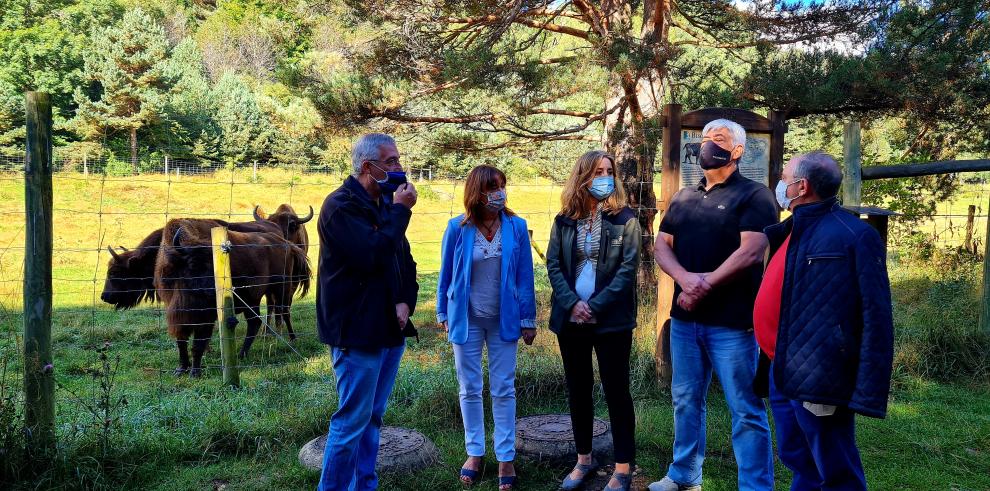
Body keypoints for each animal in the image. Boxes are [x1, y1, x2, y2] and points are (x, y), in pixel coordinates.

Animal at [156, 219, 310, 376]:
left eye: (214, 264)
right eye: (193, 263)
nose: (216, 290)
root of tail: (287, 244)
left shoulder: (206, 318)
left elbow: (198, 344)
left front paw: (195, 372)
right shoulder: (177, 315)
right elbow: (181, 342)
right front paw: (181, 369)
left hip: (280, 289)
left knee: (284, 312)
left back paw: (292, 339)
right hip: (253, 301)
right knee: (255, 322)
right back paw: (242, 354)